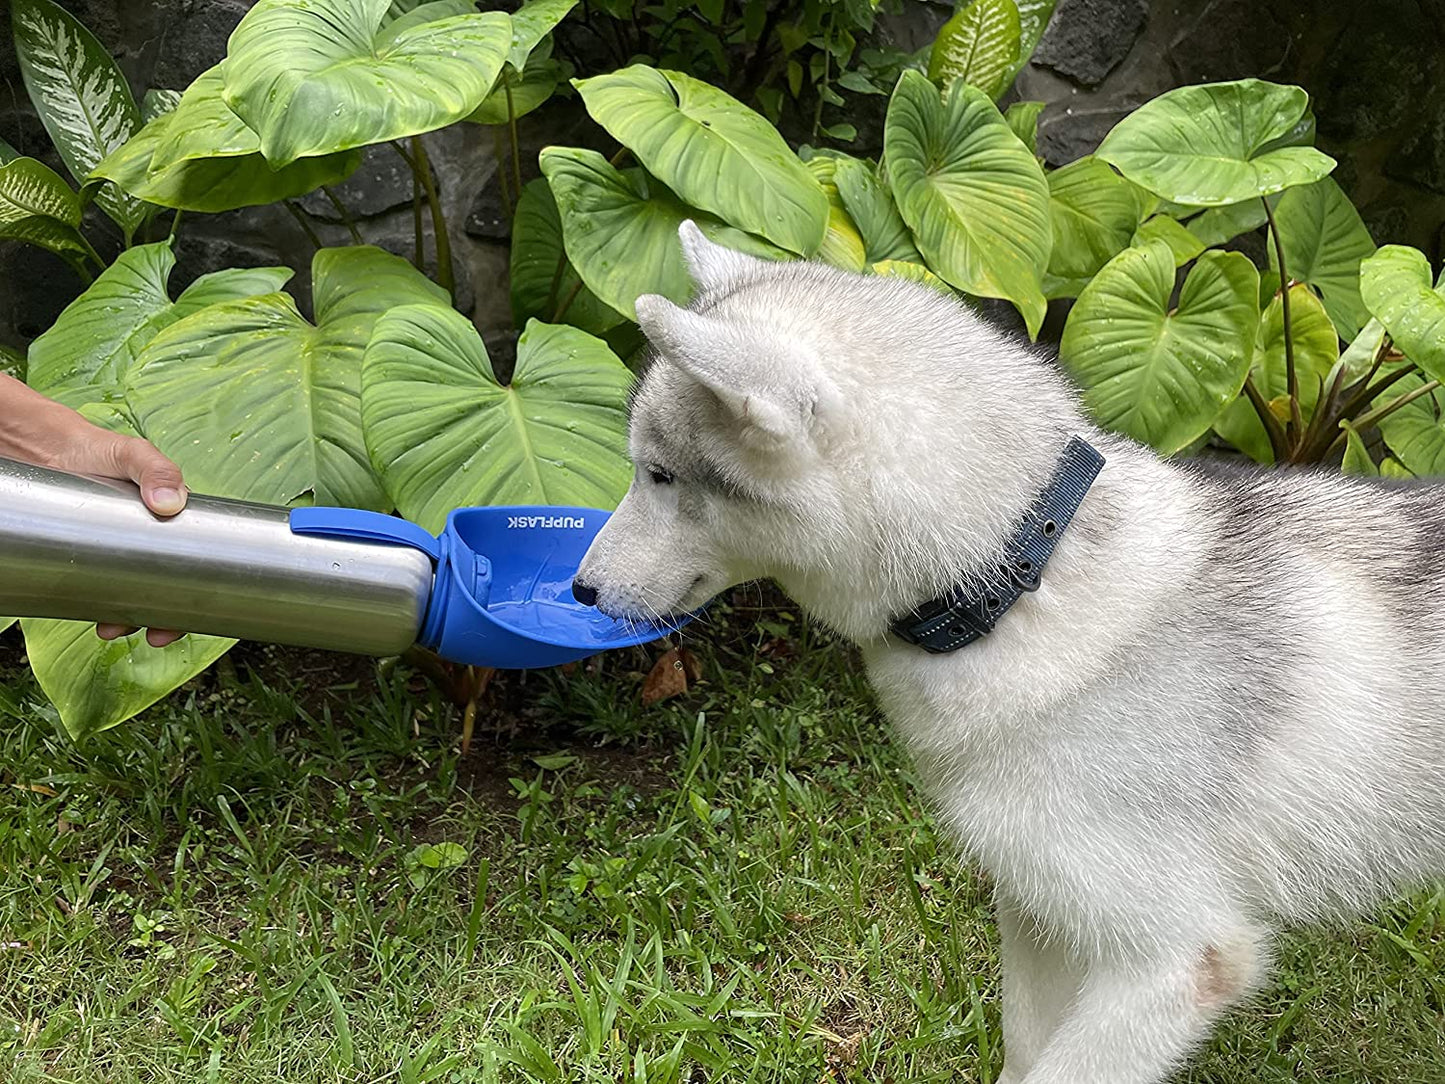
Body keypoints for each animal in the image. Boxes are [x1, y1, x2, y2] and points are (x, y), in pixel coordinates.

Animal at [569, 222, 1445, 1084]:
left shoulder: (1174, 960)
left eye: (658, 475)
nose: (579, 589)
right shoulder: (1039, 909)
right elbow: (1023, 1053)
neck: (1020, 577)